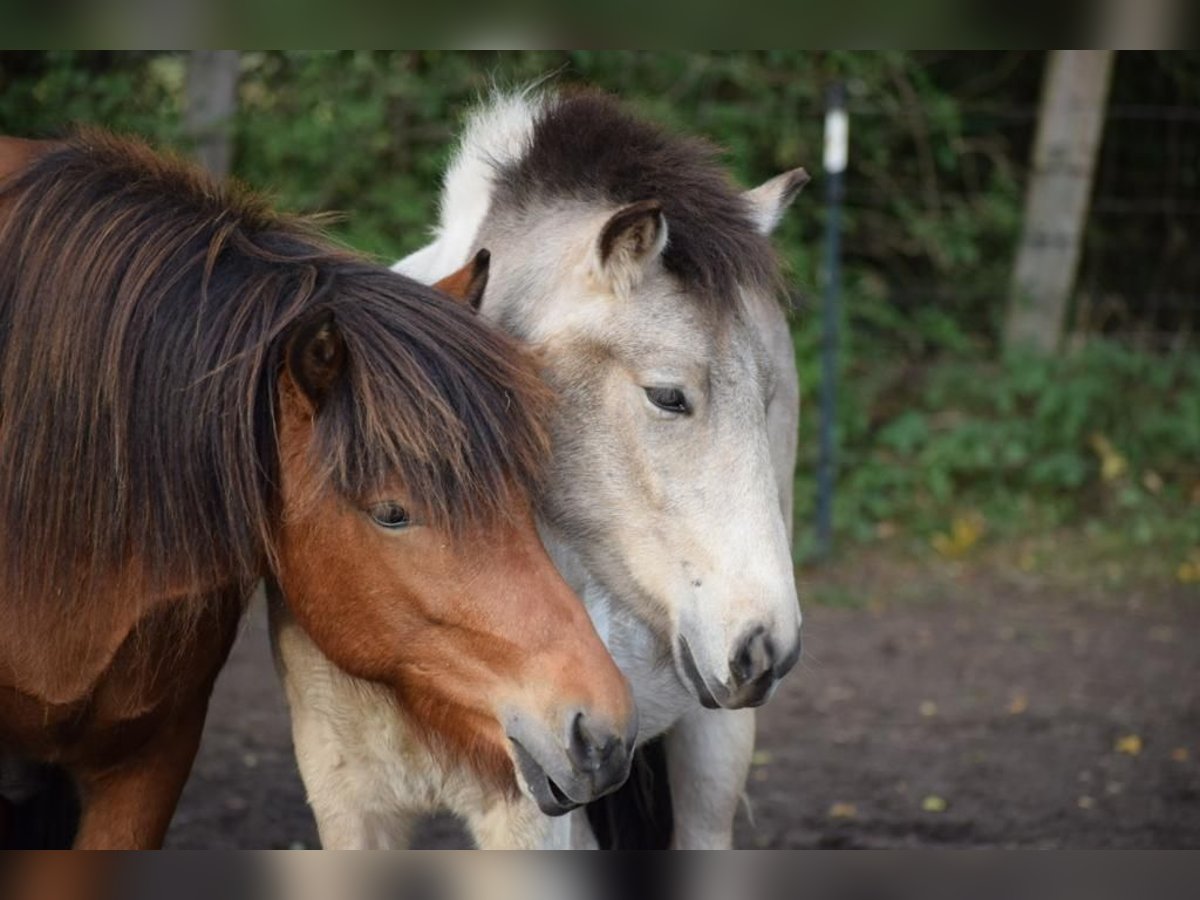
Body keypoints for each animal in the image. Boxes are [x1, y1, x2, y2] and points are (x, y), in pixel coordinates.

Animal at [274, 88, 806, 849]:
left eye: (767, 400)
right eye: (667, 396)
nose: (765, 648)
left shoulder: (533, 815)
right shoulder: (347, 806)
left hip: (711, 755)